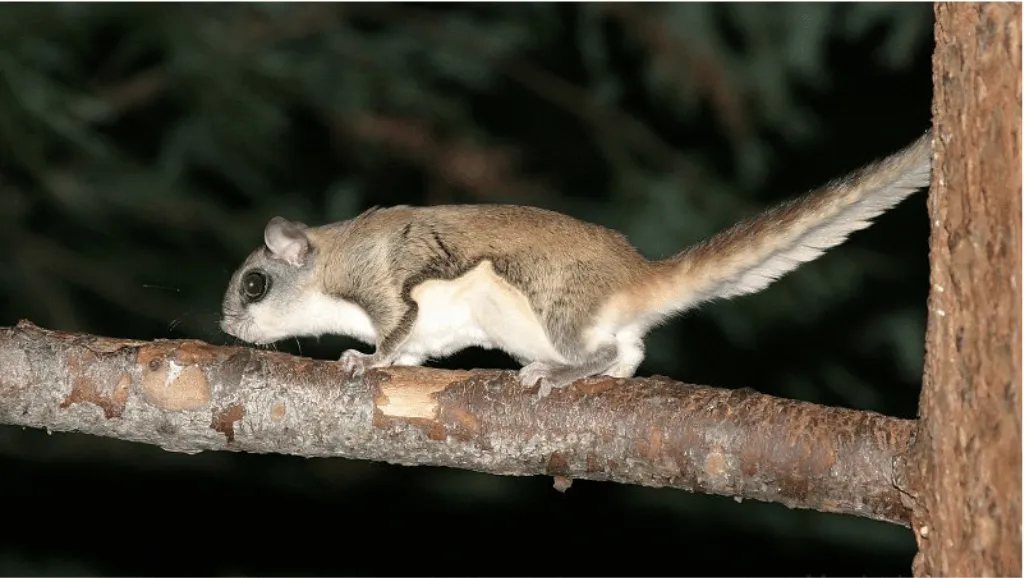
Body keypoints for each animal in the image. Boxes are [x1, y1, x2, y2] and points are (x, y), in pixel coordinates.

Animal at [220, 131, 932, 397]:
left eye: (254, 284)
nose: (226, 326)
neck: (330, 262)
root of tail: (637, 278)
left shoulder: (385, 278)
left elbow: (394, 329)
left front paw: (365, 361)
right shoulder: (420, 333)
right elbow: (413, 353)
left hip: (553, 303)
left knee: (598, 349)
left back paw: (559, 373)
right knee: (629, 355)